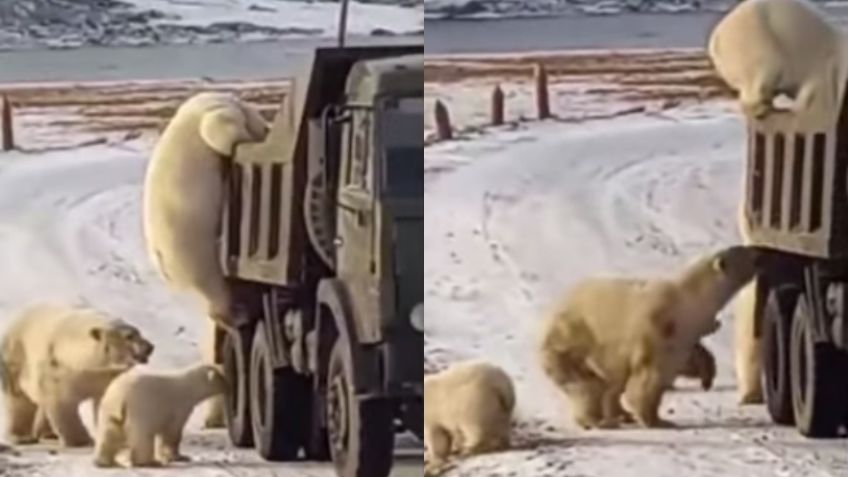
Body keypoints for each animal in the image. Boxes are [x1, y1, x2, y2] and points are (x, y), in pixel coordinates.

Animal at [0, 304, 155, 444]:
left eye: (139, 332)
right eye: (129, 336)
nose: (150, 347)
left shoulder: (105, 375)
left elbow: (106, 399)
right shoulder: (58, 367)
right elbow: (61, 403)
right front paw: (82, 440)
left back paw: (48, 434)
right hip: (16, 357)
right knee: (18, 399)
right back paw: (21, 437)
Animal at [93, 362, 227, 466]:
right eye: (221, 377)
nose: (228, 384)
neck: (188, 387)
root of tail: (119, 397)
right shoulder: (178, 407)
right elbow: (173, 433)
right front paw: (179, 457)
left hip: (109, 408)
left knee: (109, 431)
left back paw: (103, 462)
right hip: (139, 409)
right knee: (142, 435)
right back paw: (149, 462)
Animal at [540, 245, 764, 428]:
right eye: (747, 253)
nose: (760, 252)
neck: (689, 300)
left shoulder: (685, 331)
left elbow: (689, 357)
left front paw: (707, 377)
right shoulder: (658, 327)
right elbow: (649, 376)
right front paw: (657, 421)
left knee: (610, 384)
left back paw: (621, 415)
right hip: (568, 346)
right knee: (588, 385)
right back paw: (597, 421)